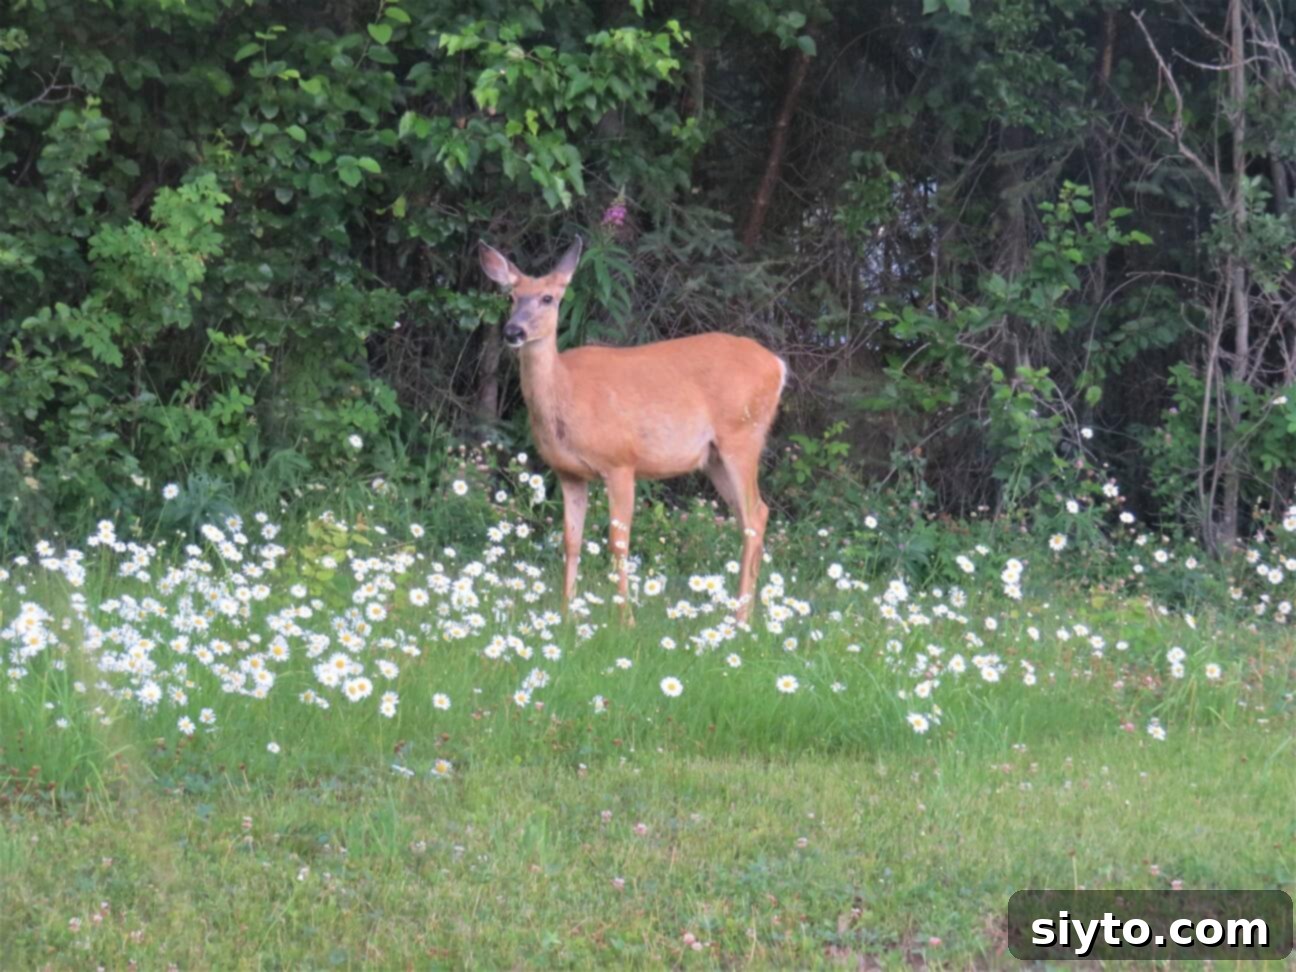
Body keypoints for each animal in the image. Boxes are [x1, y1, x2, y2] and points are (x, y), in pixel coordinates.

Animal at [478, 236, 786, 623]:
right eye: (511, 297)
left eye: (548, 298)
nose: (513, 332)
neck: (566, 390)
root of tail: (778, 365)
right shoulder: (568, 473)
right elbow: (571, 539)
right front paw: (567, 614)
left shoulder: (621, 462)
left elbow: (618, 541)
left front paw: (625, 619)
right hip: (715, 457)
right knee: (754, 514)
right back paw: (744, 613)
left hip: (742, 435)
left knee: (755, 514)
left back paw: (741, 618)